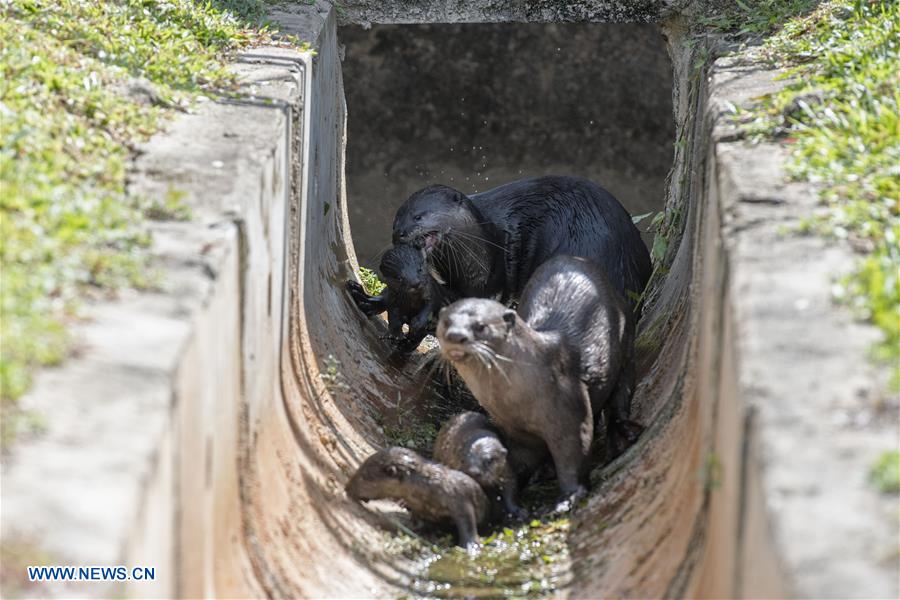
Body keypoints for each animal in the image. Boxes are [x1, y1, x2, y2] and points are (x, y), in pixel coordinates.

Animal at [346, 446, 488, 548]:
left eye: (364, 475)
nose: (347, 487)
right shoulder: (419, 509)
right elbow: (419, 521)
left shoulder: (458, 498)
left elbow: (468, 522)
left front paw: (470, 545)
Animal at [434, 254, 640, 510]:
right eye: (445, 322)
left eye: (480, 326)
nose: (455, 336)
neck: (516, 398)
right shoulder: (513, 429)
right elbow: (518, 459)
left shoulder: (569, 408)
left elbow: (573, 452)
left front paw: (568, 498)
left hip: (626, 340)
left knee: (621, 393)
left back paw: (621, 435)